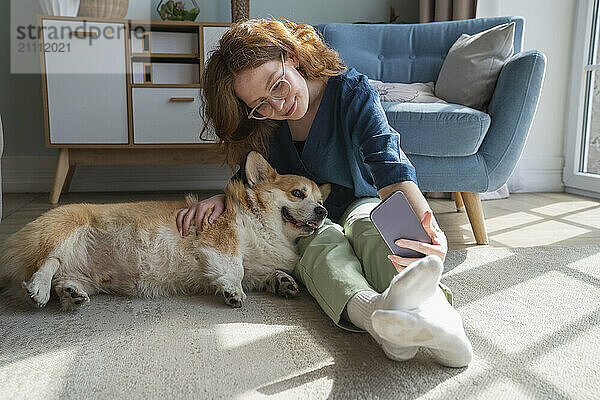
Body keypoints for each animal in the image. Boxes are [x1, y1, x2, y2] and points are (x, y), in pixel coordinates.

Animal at [0, 152, 328, 310]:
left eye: (320, 200)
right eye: (298, 194)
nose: (323, 212)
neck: (269, 230)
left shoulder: (256, 267)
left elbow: (262, 274)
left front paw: (282, 281)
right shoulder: (222, 242)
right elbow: (234, 269)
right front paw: (233, 291)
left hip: (86, 276)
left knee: (63, 277)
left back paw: (71, 294)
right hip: (65, 230)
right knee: (48, 263)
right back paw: (39, 288)